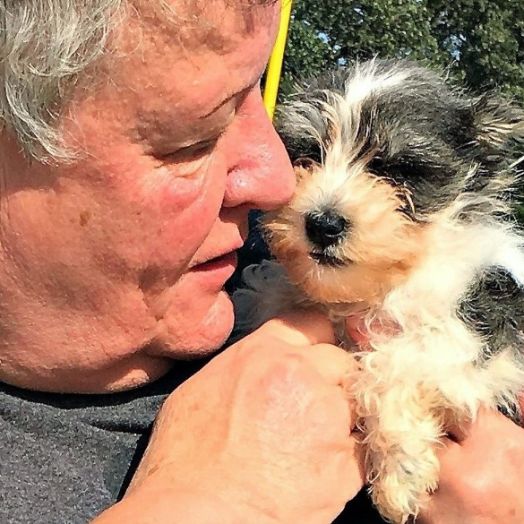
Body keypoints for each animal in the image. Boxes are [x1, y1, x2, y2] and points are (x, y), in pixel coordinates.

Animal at [235, 59, 524, 520]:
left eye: (397, 169)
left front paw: (399, 474)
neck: (376, 288)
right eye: (308, 154)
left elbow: (396, 361)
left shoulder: (484, 335)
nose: (323, 223)